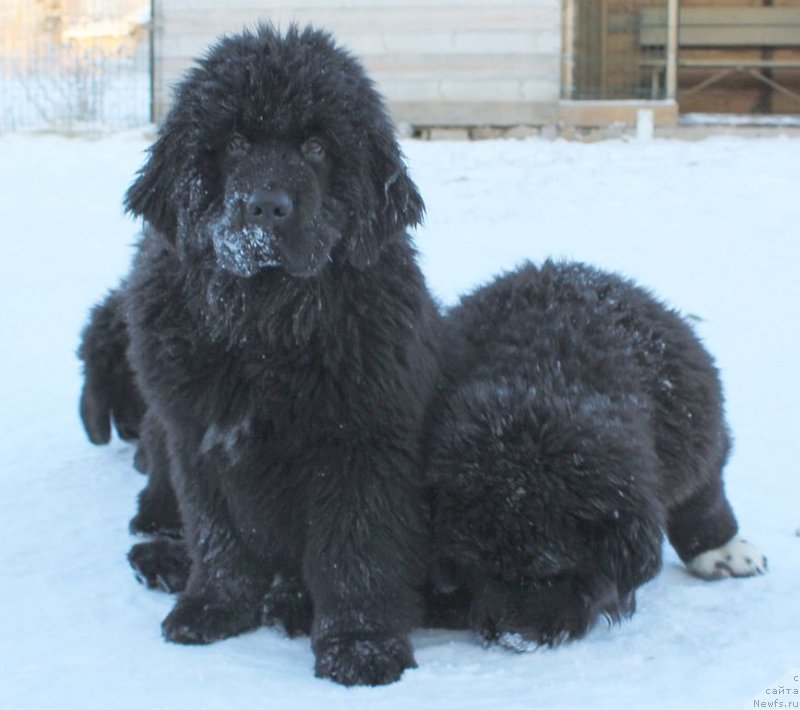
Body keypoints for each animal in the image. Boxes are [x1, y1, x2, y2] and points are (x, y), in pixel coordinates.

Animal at [79, 25, 440, 688]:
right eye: (237, 142)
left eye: (317, 147)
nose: (267, 206)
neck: (263, 331)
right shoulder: (197, 436)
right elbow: (219, 536)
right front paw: (213, 607)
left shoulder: (362, 440)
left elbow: (355, 552)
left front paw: (360, 646)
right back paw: (161, 558)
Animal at [428, 262, 764, 652]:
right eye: (478, 566)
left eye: (553, 569)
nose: (515, 638)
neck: (543, 380)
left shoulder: (698, 439)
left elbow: (703, 500)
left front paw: (723, 551)